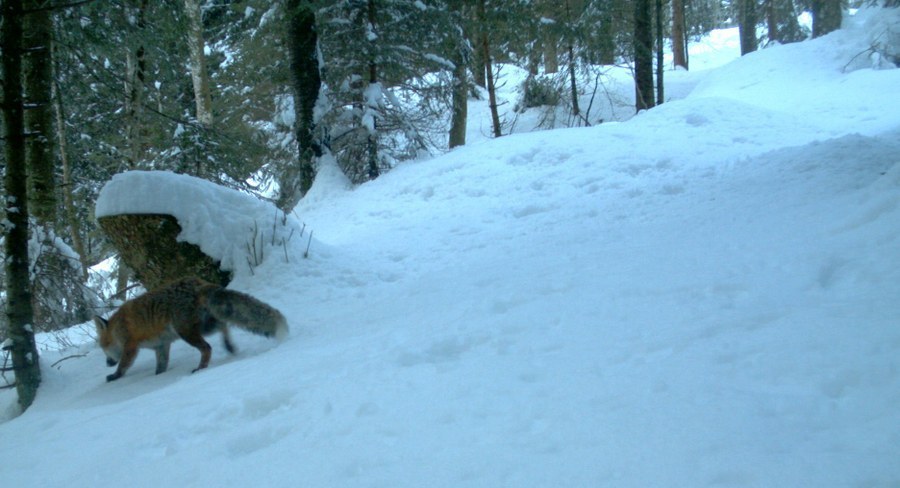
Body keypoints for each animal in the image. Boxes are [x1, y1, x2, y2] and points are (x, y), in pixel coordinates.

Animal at [94, 277, 288, 382]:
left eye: (104, 349)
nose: (107, 363)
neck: (117, 327)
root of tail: (198, 283)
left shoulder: (131, 346)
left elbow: (123, 365)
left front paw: (115, 375)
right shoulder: (161, 345)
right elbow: (161, 366)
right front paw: (158, 378)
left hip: (186, 332)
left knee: (207, 348)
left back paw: (201, 368)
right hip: (205, 326)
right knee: (223, 326)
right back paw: (229, 346)